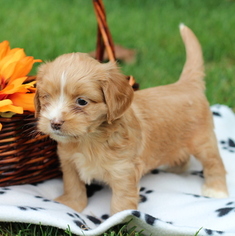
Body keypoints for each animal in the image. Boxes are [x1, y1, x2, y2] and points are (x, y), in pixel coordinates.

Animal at [34, 24, 228, 215]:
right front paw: (71, 205)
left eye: (82, 101)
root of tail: (185, 84)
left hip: (203, 140)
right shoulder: (69, 163)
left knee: (214, 161)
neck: (88, 140)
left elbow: (121, 202)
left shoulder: (124, 172)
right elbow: (73, 186)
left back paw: (216, 190)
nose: (54, 123)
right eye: (46, 97)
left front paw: (120, 218)